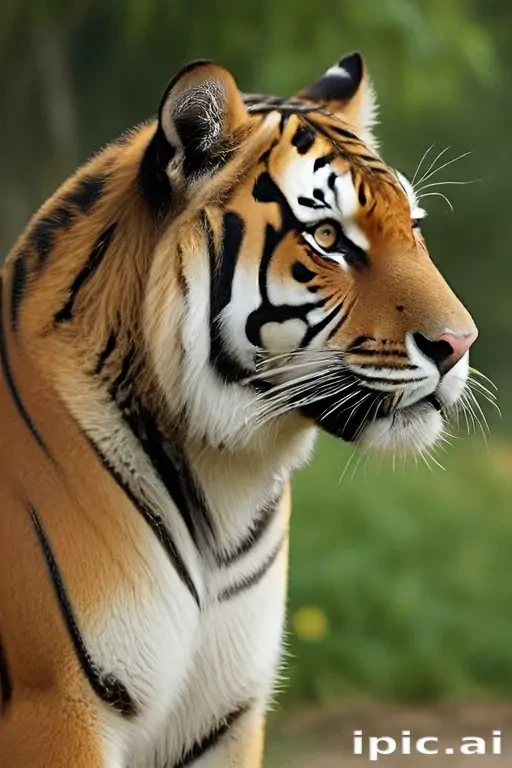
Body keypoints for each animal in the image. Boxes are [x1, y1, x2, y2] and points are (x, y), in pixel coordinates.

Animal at [0, 52, 477, 767]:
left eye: (413, 229)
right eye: (329, 237)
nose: (461, 343)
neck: (223, 482)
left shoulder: (223, 716)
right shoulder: (54, 707)